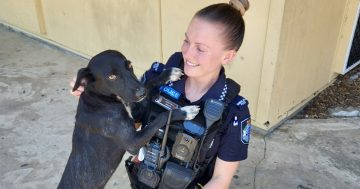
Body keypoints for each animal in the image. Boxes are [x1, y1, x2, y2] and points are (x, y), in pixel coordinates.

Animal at [58, 49, 200, 188]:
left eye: (130, 66)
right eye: (112, 77)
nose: (142, 93)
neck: (99, 98)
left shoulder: (135, 111)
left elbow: (148, 83)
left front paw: (168, 74)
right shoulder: (133, 142)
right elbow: (161, 117)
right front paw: (185, 111)